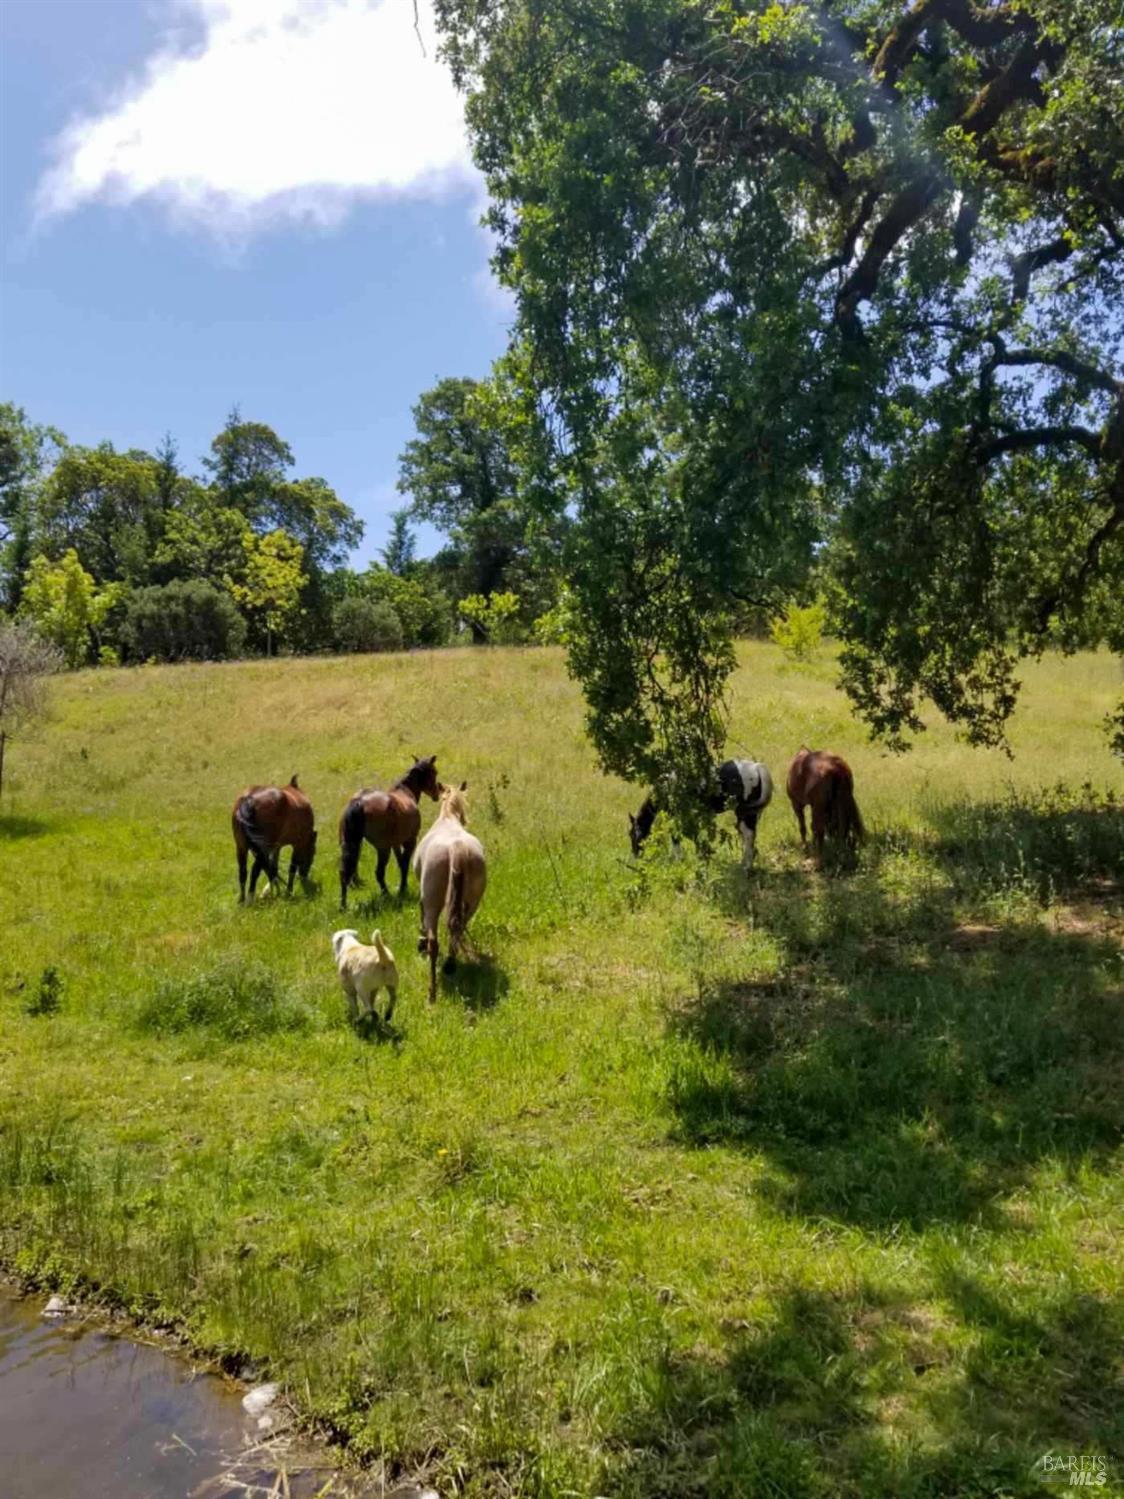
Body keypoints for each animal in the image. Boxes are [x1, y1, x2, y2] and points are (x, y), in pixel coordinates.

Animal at [338, 755, 440, 905]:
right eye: (434, 772)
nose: (437, 794)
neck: (404, 791)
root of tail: (359, 802)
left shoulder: (395, 844)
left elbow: (400, 862)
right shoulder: (410, 841)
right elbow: (404, 864)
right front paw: (402, 889)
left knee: (344, 873)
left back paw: (343, 905)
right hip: (383, 849)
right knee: (379, 873)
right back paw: (386, 894)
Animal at [410, 785, 485, 1007]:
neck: (447, 818)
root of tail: (456, 848)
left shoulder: (423, 894)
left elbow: (421, 913)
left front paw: (421, 940)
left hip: (433, 902)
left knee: (434, 943)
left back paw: (432, 992)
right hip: (472, 903)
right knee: (458, 927)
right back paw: (451, 963)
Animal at [629, 761, 779, 869]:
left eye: (634, 835)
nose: (635, 857)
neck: (665, 788)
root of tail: (757, 768)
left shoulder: (676, 816)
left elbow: (677, 835)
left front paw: (679, 860)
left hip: (744, 814)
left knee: (748, 835)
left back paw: (746, 866)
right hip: (751, 813)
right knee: (748, 835)